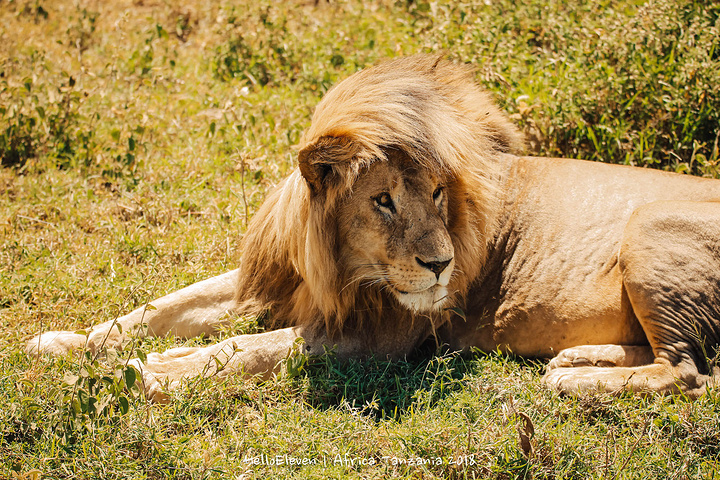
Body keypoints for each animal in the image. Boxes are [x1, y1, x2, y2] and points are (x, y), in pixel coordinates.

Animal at [28, 55, 720, 402]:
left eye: (439, 193)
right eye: (383, 200)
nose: (440, 266)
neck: (341, 268)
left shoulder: (385, 335)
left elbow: (253, 348)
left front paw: (157, 372)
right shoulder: (280, 281)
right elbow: (162, 306)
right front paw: (62, 343)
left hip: (651, 226)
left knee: (687, 371)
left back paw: (578, 382)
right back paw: (577, 358)